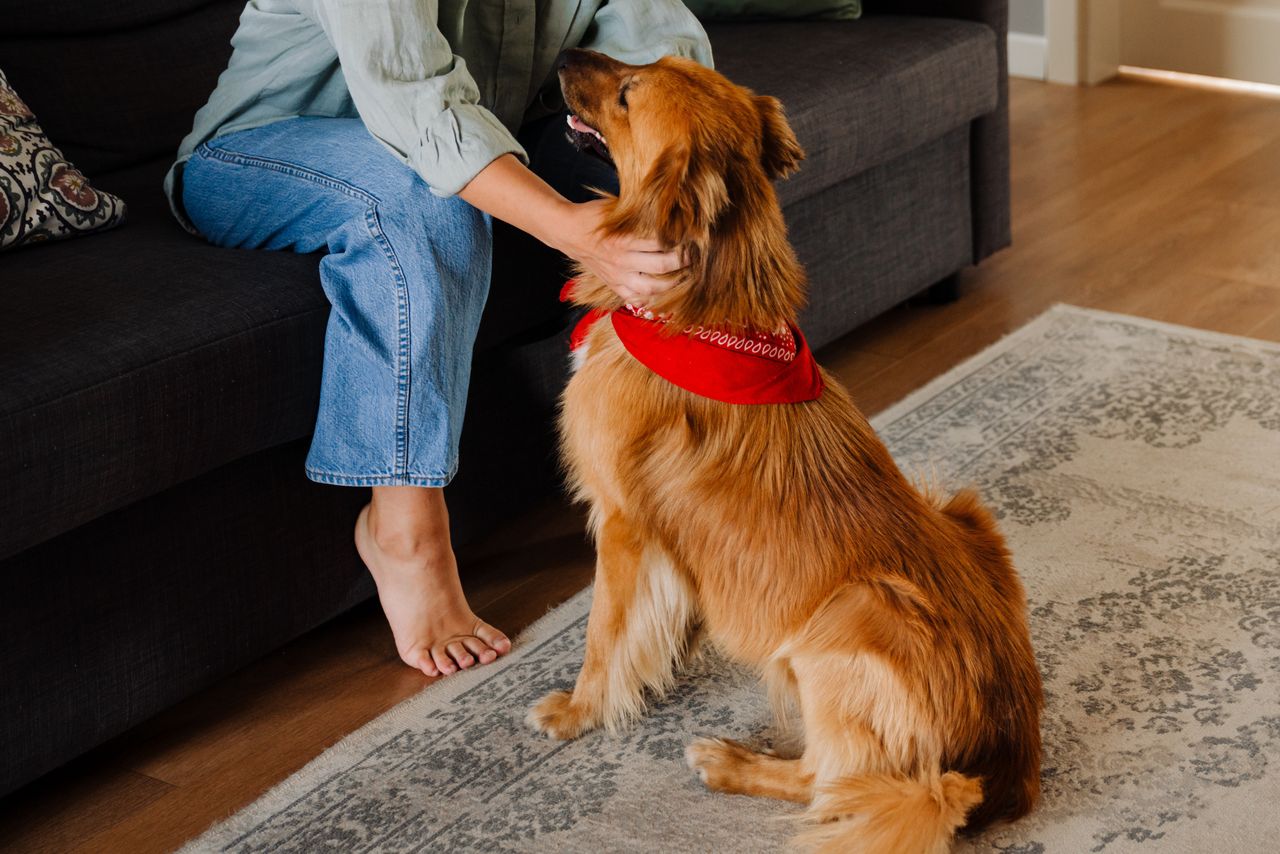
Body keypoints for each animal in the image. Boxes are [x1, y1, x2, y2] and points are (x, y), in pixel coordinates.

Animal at [529, 50, 1039, 850]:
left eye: (629, 91)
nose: (565, 55)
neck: (698, 311)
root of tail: (998, 768)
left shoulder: (621, 523)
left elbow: (602, 637)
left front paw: (579, 712)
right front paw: (677, 644)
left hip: (856, 613)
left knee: (832, 783)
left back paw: (729, 761)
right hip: (960, 510)